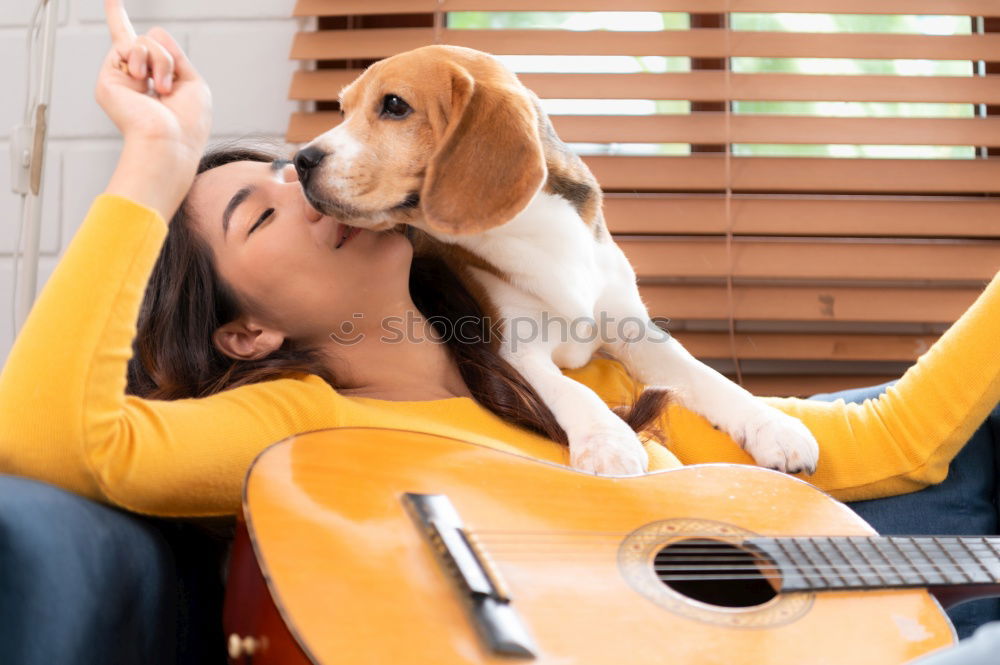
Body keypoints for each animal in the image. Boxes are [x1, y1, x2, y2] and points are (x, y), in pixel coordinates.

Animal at [292, 44, 820, 474]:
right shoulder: (515, 350)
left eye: (395, 105)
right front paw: (608, 441)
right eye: (342, 110)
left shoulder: (636, 331)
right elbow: (575, 390)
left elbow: (707, 376)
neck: (537, 234)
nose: (300, 160)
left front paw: (773, 425)